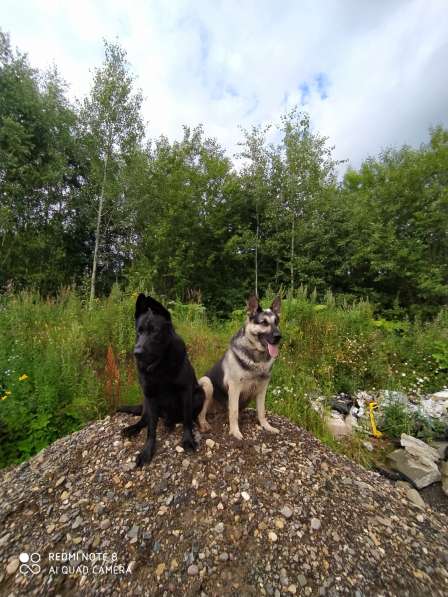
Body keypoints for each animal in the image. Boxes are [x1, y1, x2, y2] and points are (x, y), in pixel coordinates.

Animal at [118, 294, 204, 466]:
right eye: (139, 331)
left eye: (155, 331)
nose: (137, 352)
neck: (160, 365)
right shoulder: (150, 396)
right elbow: (151, 429)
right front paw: (147, 451)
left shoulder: (185, 391)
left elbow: (186, 419)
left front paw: (188, 440)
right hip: (146, 402)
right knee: (144, 420)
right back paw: (133, 428)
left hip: (199, 394)